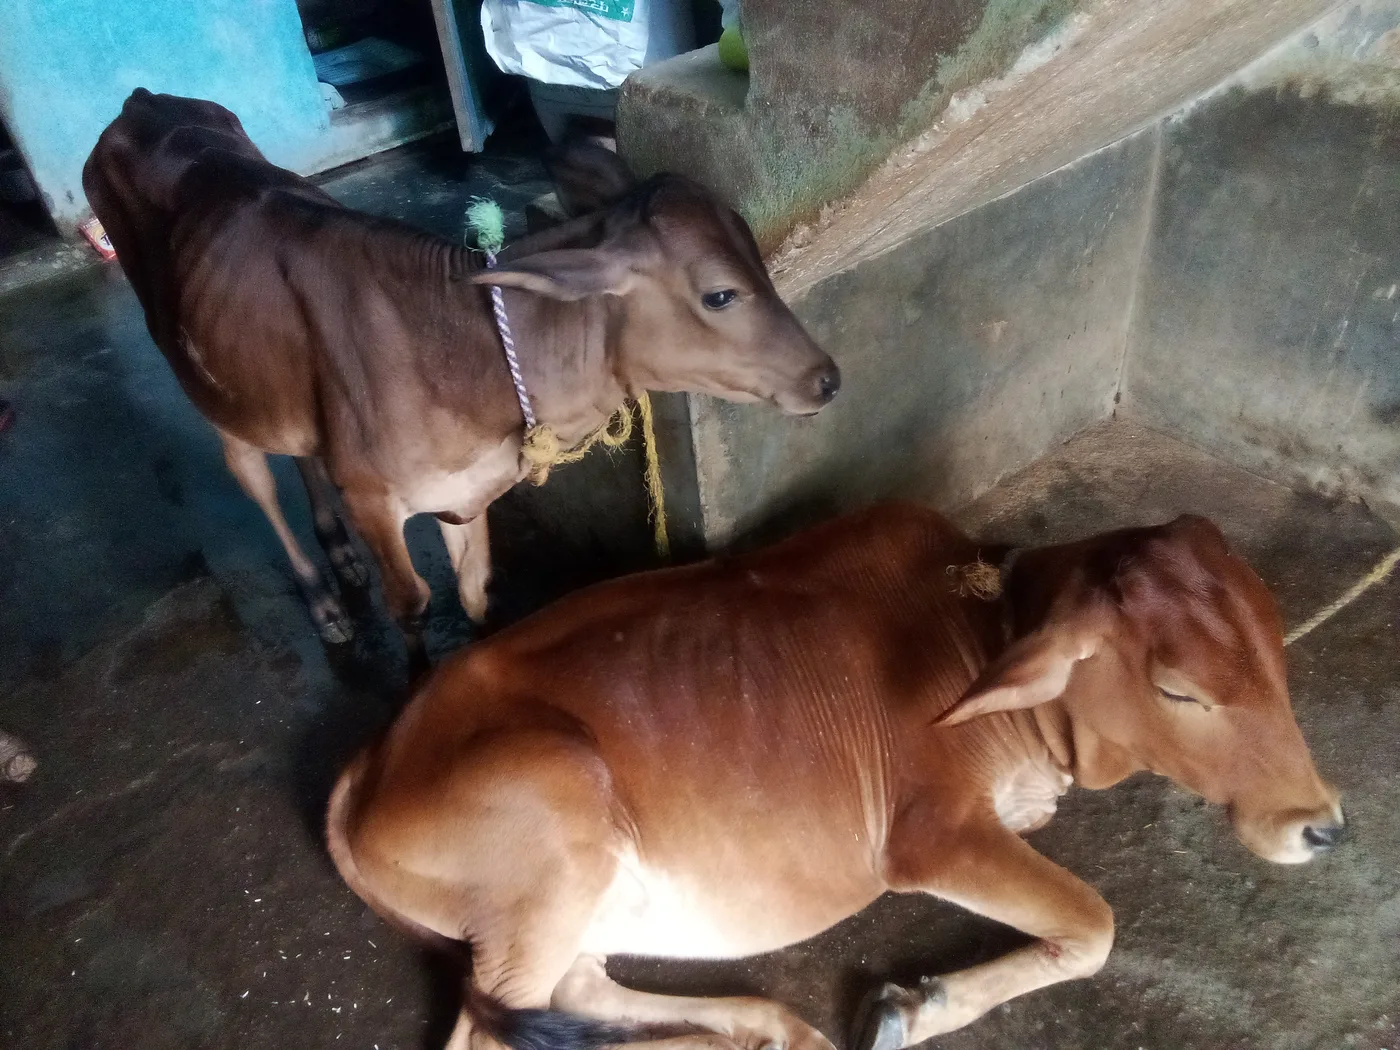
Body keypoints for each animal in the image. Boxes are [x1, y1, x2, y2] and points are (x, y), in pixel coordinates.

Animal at [82, 90, 839, 668]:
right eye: (720, 295)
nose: (827, 378)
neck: (463, 359)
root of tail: (140, 102)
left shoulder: (467, 492)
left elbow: (476, 592)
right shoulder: (374, 499)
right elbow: (413, 604)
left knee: (302, 454)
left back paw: (338, 553)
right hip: (206, 383)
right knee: (253, 477)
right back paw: (323, 598)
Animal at [326, 501, 1344, 1050]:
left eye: (1275, 644)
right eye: (1178, 689)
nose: (1322, 823)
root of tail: (370, 762)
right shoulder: (929, 834)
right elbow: (1094, 925)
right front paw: (916, 1008)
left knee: (573, 998)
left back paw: (768, 1026)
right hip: (556, 824)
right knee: (491, 1032)